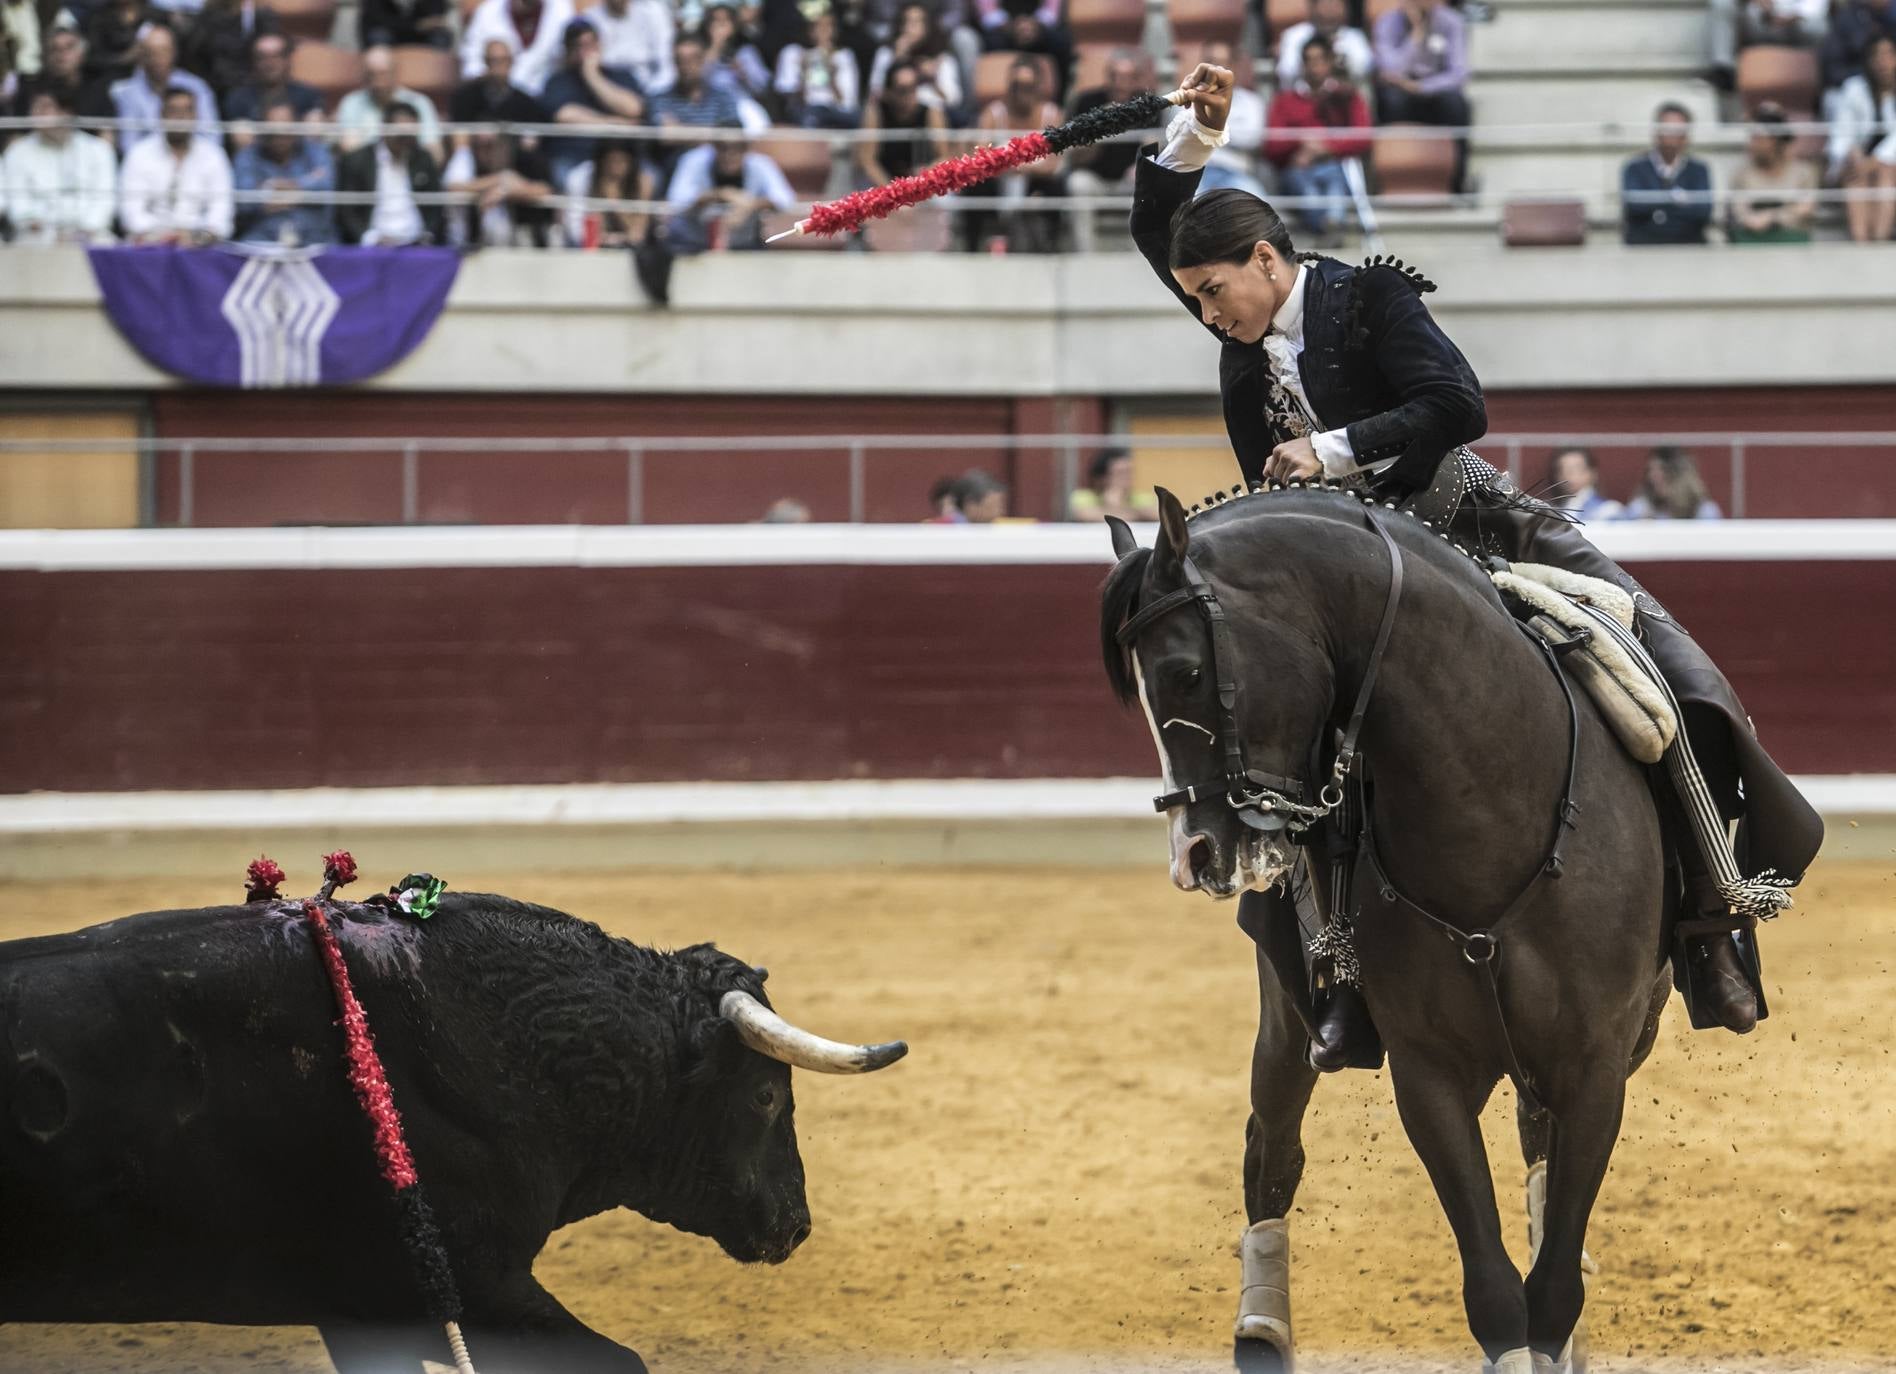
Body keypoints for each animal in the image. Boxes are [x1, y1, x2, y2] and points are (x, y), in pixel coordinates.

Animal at [1107, 488, 1676, 1364]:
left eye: (1186, 672)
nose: (1194, 855)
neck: (1491, 811)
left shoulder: (1596, 1065)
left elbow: (1552, 1283)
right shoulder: (1427, 1073)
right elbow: (1496, 1295)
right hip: (1287, 1021)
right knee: (1271, 1151)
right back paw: (1262, 1327)